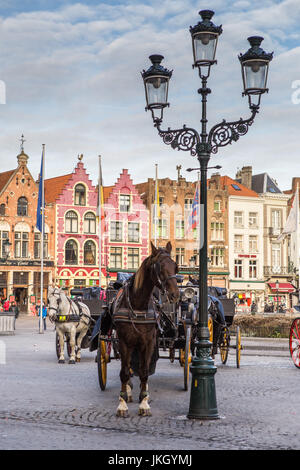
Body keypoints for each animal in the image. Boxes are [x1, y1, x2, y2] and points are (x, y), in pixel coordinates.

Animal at [112, 241, 178, 416]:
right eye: (160, 267)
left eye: (175, 266)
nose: (175, 294)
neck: (138, 304)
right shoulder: (124, 341)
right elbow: (125, 372)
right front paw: (122, 404)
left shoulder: (148, 342)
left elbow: (144, 371)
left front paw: (144, 402)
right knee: (128, 368)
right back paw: (128, 392)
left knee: (143, 367)